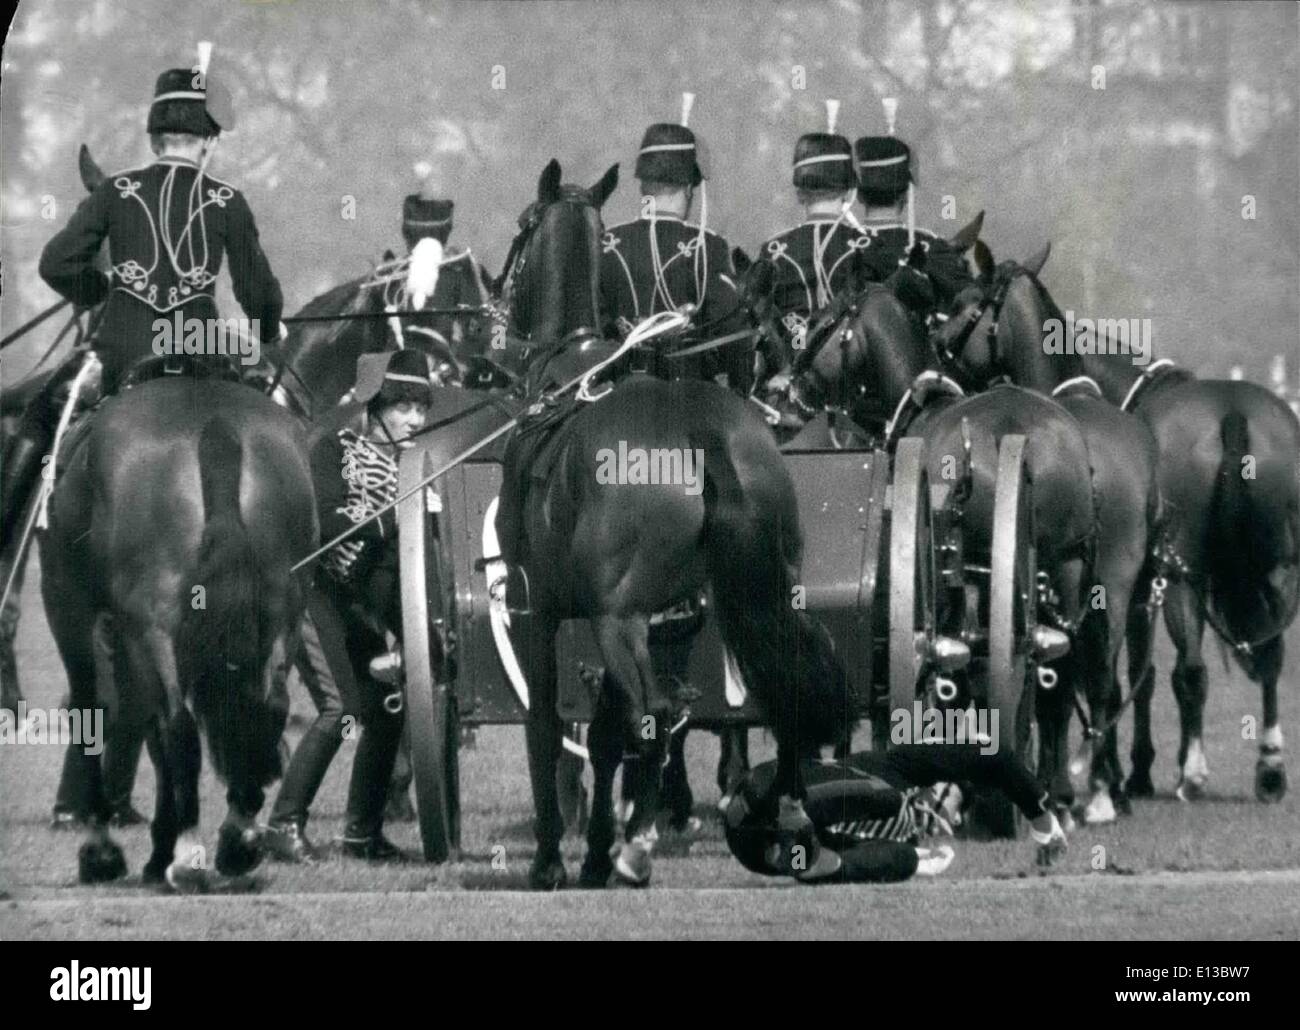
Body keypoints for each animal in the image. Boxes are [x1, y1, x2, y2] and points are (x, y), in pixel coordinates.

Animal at [493, 158, 852, 884]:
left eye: (522, 228)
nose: (496, 296)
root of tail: (701, 432)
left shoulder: (539, 612)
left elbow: (550, 728)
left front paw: (556, 858)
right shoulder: (661, 624)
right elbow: (607, 737)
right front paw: (596, 848)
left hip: (618, 621)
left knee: (651, 714)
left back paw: (634, 849)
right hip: (763, 598)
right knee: (782, 693)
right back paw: (788, 817)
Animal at [1071, 327, 1294, 795]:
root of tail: (1232, 415)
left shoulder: (1137, 590)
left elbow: (1139, 673)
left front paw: (1136, 769)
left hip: (1179, 581)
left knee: (1190, 669)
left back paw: (1190, 771)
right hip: (1277, 568)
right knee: (1270, 658)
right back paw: (1269, 767)